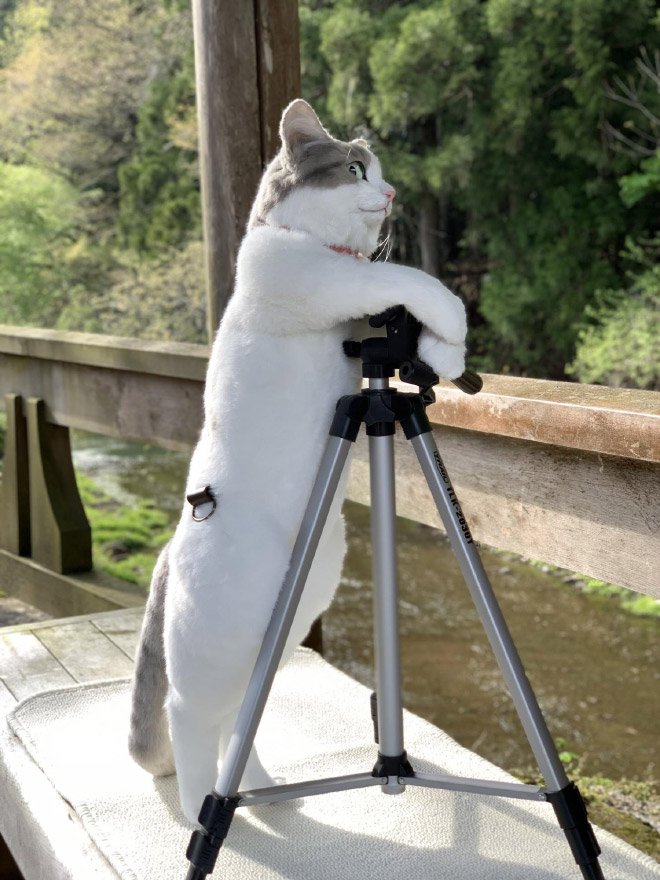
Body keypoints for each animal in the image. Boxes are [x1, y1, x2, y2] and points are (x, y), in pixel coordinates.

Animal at [129, 99, 466, 820]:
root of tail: (167, 551)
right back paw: (204, 805)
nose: (390, 194)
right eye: (355, 168)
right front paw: (454, 324)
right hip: (220, 639)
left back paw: (259, 789)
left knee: (237, 717)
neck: (309, 240)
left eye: (381, 173)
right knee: (189, 714)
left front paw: (443, 353)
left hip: (283, 627)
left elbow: (396, 303)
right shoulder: (322, 280)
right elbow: (403, 276)